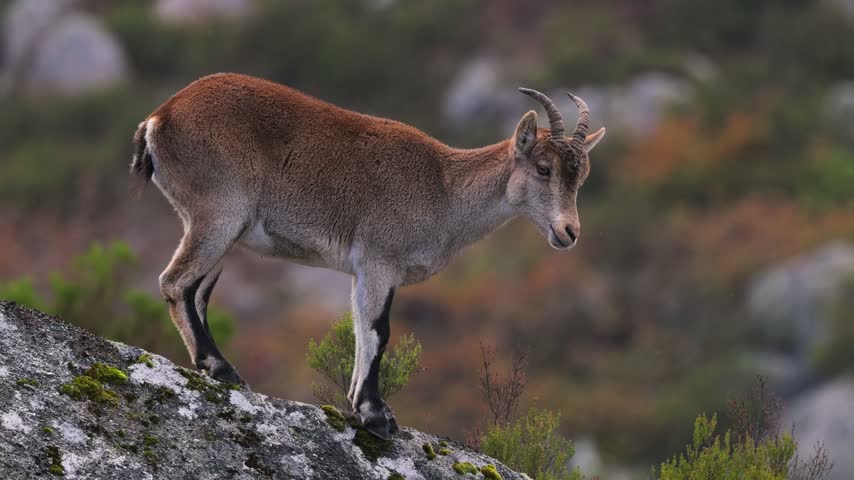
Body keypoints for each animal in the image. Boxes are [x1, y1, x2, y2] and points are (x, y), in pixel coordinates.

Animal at [131, 73, 605, 439]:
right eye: (543, 168)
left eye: (581, 175)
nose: (569, 232)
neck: (443, 189)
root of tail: (160, 117)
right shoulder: (380, 261)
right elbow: (378, 332)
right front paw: (376, 416)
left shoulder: (363, 272)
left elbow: (360, 330)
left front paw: (361, 405)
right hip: (219, 213)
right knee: (176, 283)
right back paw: (221, 368)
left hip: (219, 229)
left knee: (197, 292)